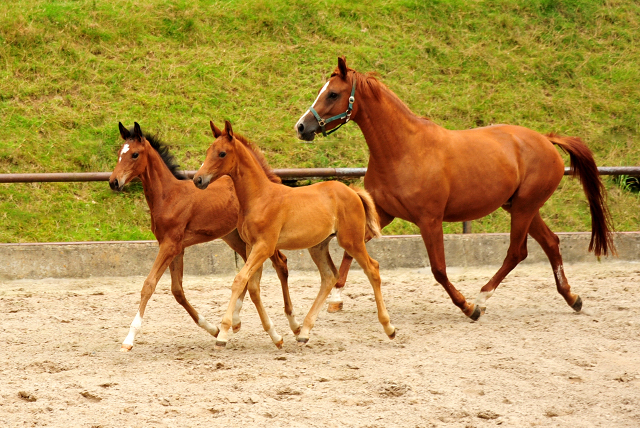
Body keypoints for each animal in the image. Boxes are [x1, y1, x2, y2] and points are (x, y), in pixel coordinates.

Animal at [109, 121, 300, 352]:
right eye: (119, 153)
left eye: (135, 154)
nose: (113, 182)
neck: (168, 196)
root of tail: (268, 176)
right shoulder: (176, 247)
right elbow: (177, 291)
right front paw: (214, 329)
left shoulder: (169, 245)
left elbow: (148, 285)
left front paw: (128, 339)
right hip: (235, 237)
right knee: (250, 270)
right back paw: (236, 321)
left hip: (258, 238)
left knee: (281, 263)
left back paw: (294, 325)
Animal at [194, 119, 396, 348]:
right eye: (208, 151)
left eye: (222, 153)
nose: (198, 180)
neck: (260, 197)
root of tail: (352, 191)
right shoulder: (251, 246)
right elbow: (252, 286)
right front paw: (275, 336)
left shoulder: (264, 246)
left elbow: (239, 280)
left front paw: (223, 333)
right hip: (318, 246)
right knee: (329, 276)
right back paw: (304, 331)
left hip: (351, 241)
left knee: (372, 269)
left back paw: (389, 328)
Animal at [296, 57, 616, 320]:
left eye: (333, 93)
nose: (301, 127)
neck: (403, 149)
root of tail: (547, 140)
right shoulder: (384, 213)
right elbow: (352, 250)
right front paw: (336, 298)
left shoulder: (429, 220)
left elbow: (438, 269)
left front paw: (466, 306)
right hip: (520, 207)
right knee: (550, 243)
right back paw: (572, 298)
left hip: (524, 208)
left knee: (517, 252)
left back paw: (482, 299)